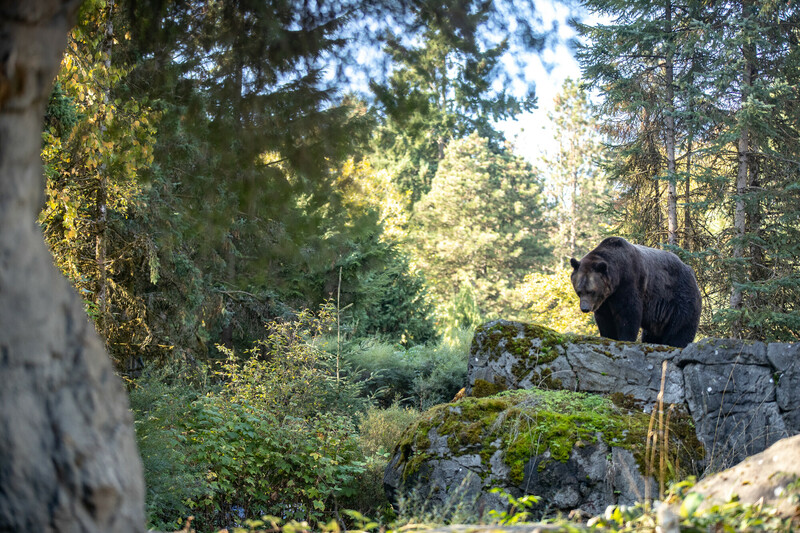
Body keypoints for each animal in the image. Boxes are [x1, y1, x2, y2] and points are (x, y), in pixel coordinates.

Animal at [570, 236, 701, 348]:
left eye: (591, 291)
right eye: (579, 291)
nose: (585, 308)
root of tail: (692, 274)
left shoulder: (630, 282)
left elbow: (629, 313)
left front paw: (625, 338)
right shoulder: (605, 300)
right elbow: (604, 318)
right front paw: (608, 336)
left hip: (679, 299)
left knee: (681, 329)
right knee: (651, 334)